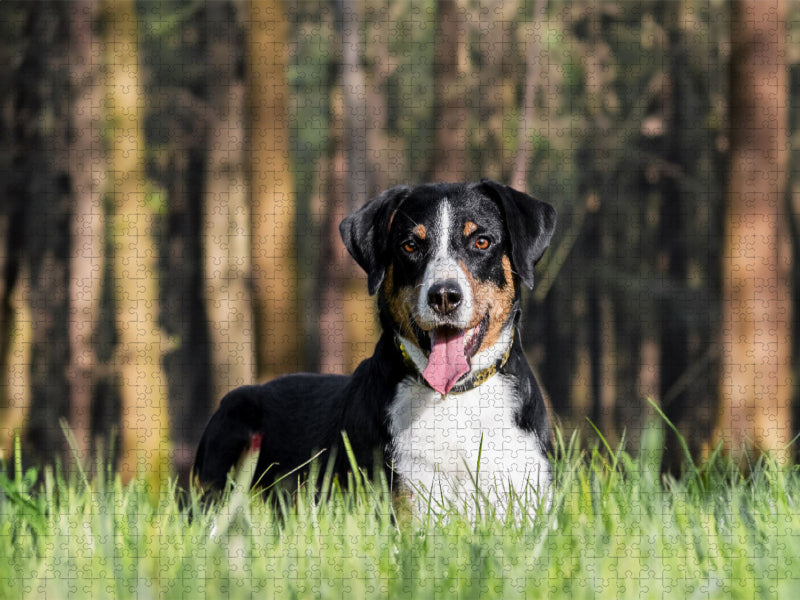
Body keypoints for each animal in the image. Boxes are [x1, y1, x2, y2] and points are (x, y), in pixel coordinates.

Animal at [193, 178, 556, 516]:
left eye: (482, 241)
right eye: (410, 246)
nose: (443, 295)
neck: (455, 399)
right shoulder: (413, 501)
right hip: (235, 427)